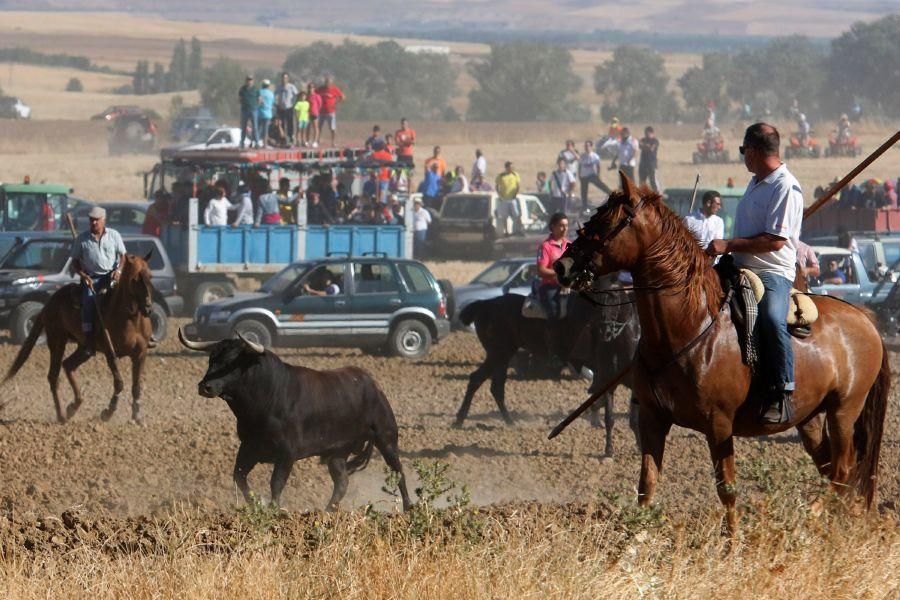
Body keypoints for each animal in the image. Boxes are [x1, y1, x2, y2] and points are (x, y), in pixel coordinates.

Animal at [4, 254, 156, 426]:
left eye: (150, 276)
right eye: (134, 279)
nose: (148, 308)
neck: (131, 319)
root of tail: (49, 303)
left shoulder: (140, 354)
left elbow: (136, 386)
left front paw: (137, 417)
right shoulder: (110, 352)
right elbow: (119, 383)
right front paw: (108, 412)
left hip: (84, 349)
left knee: (68, 365)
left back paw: (74, 405)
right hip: (57, 341)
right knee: (54, 376)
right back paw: (62, 416)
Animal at [177, 328, 414, 510]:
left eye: (232, 362)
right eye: (211, 359)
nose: (205, 386)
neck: (267, 397)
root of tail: (372, 384)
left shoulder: (287, 453)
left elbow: (276, 483)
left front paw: (273, 509)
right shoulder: (249, 447)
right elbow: (239, 477)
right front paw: (257, 504)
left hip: (386, 438)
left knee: (398, 471)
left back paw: (408, 507)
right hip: (338, 452)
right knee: (342, 483)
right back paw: (327, 511)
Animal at [458, 284, 640, 458]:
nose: (605, 331)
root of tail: (484, 304)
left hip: (501, 355)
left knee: (488, 384)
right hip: (498, 353)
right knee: (483, 382)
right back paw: (466, 419)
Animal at [560, 171, 888, 532]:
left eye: (606, 222)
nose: (562, 265)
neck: (690, 326)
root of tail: (865, 317)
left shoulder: (718, 424)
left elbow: (726, 489)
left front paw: (732, 541)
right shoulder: (652, 417)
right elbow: (647, 484)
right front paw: (636, 537)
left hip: (844, 409)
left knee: (843, 470)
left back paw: (810, 517)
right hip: (811, 418)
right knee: (834, 469)